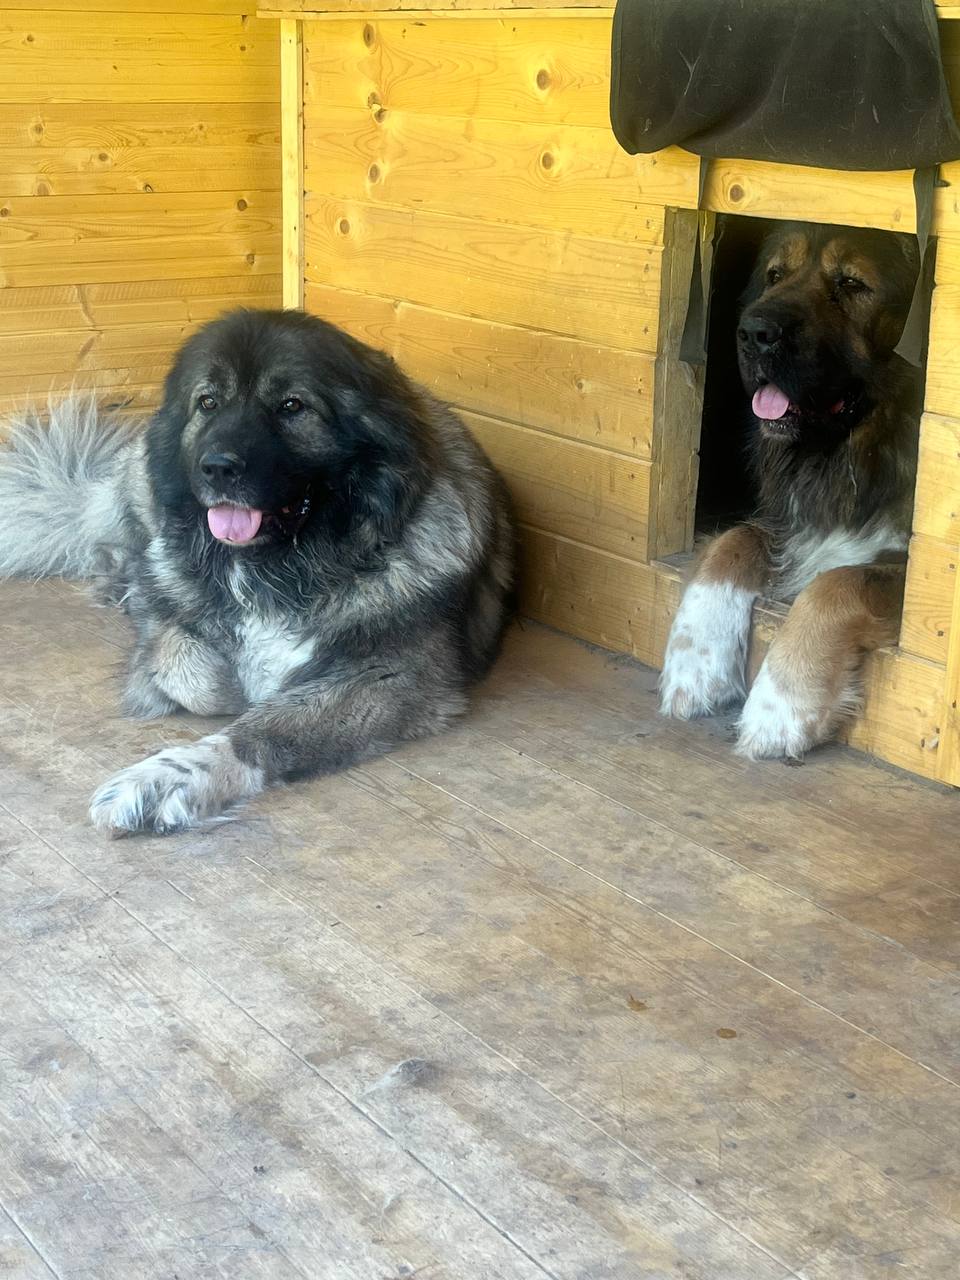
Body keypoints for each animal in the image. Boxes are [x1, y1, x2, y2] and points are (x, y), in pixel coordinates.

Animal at [0, 309, 515, 834]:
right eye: (207, 402)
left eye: (291, 406)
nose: (217, 468)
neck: (281, 564)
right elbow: (195, 671)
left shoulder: (393, 678)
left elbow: (262, 725)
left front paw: (170, 777)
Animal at [660, 221, 922, 758]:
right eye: (775, 275)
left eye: (851, 283)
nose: (753, 333)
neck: (849, 453)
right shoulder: (785, 520)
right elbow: (733, 538)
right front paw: (695, 661)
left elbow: (839, 583)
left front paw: (781, 702)